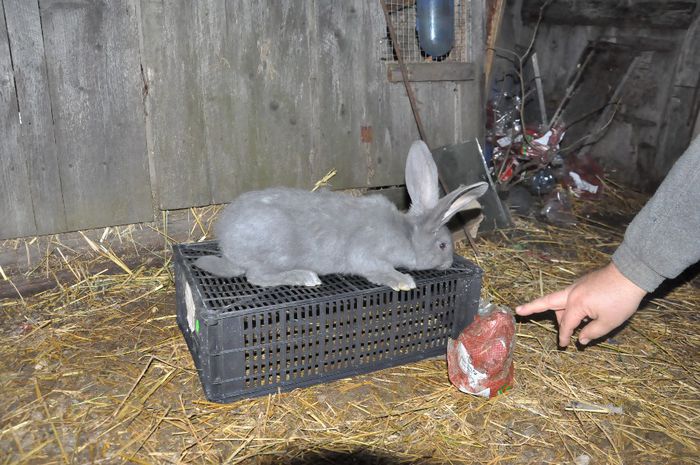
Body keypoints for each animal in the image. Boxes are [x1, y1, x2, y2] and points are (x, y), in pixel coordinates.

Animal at [194, 140, 484, 288]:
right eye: (442, 245)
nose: (448, 263)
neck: (407, 235)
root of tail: (227, 247)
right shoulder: (366, 254)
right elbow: (378, 268)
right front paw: (403, 281)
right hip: (273, 254)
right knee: (256, 277)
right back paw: (305, 277)